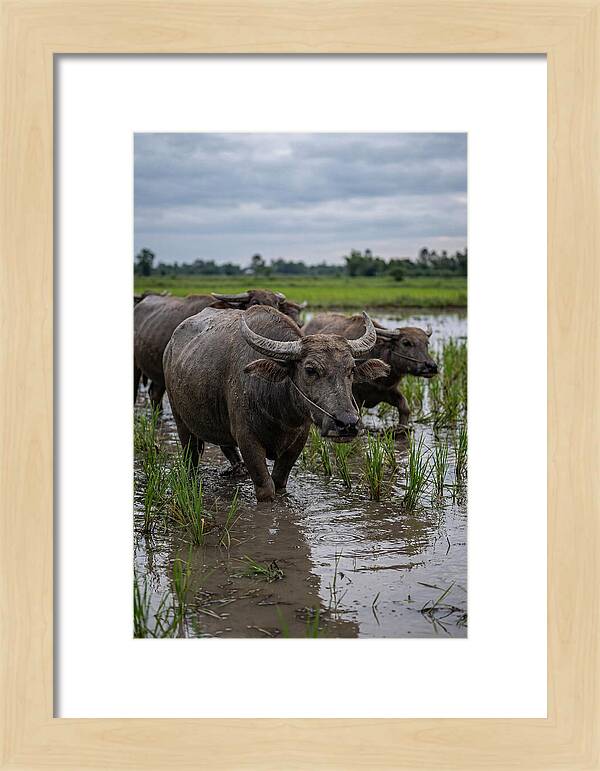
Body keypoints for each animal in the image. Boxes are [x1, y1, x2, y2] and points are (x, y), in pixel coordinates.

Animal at [163, 306, 390, 502]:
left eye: (351, 369)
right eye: (310, 370)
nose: (347, 423)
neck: (280, 411)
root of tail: (170, 347)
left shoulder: (298, 441)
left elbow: (279, 482)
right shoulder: (247, 439)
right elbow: (266, 489)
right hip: (180, 420)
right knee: (191, 457)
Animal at [304, 312, 438, 428]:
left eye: (427, 343)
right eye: (406, 342)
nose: (432, 366)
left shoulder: (388, 391)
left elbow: (405, 408)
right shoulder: (354, 397)